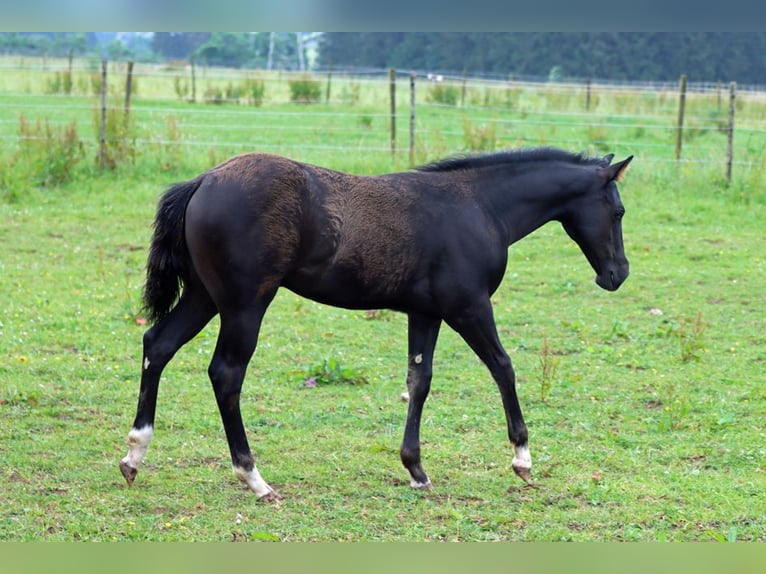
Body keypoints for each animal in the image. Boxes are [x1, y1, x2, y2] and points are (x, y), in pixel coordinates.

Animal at [120, 147, 632, 500]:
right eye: (619, 210)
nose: (617, 274)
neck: (479, 206)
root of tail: (205, 179)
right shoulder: (468, 306)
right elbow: (503, 367)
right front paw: (522, 460)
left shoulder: (426, 312)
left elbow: (418, 381)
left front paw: (416, 470)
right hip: (246, 304)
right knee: (226, 374)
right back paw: (255, 478)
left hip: (205, 296)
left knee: (157, 344)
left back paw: (134, 454)